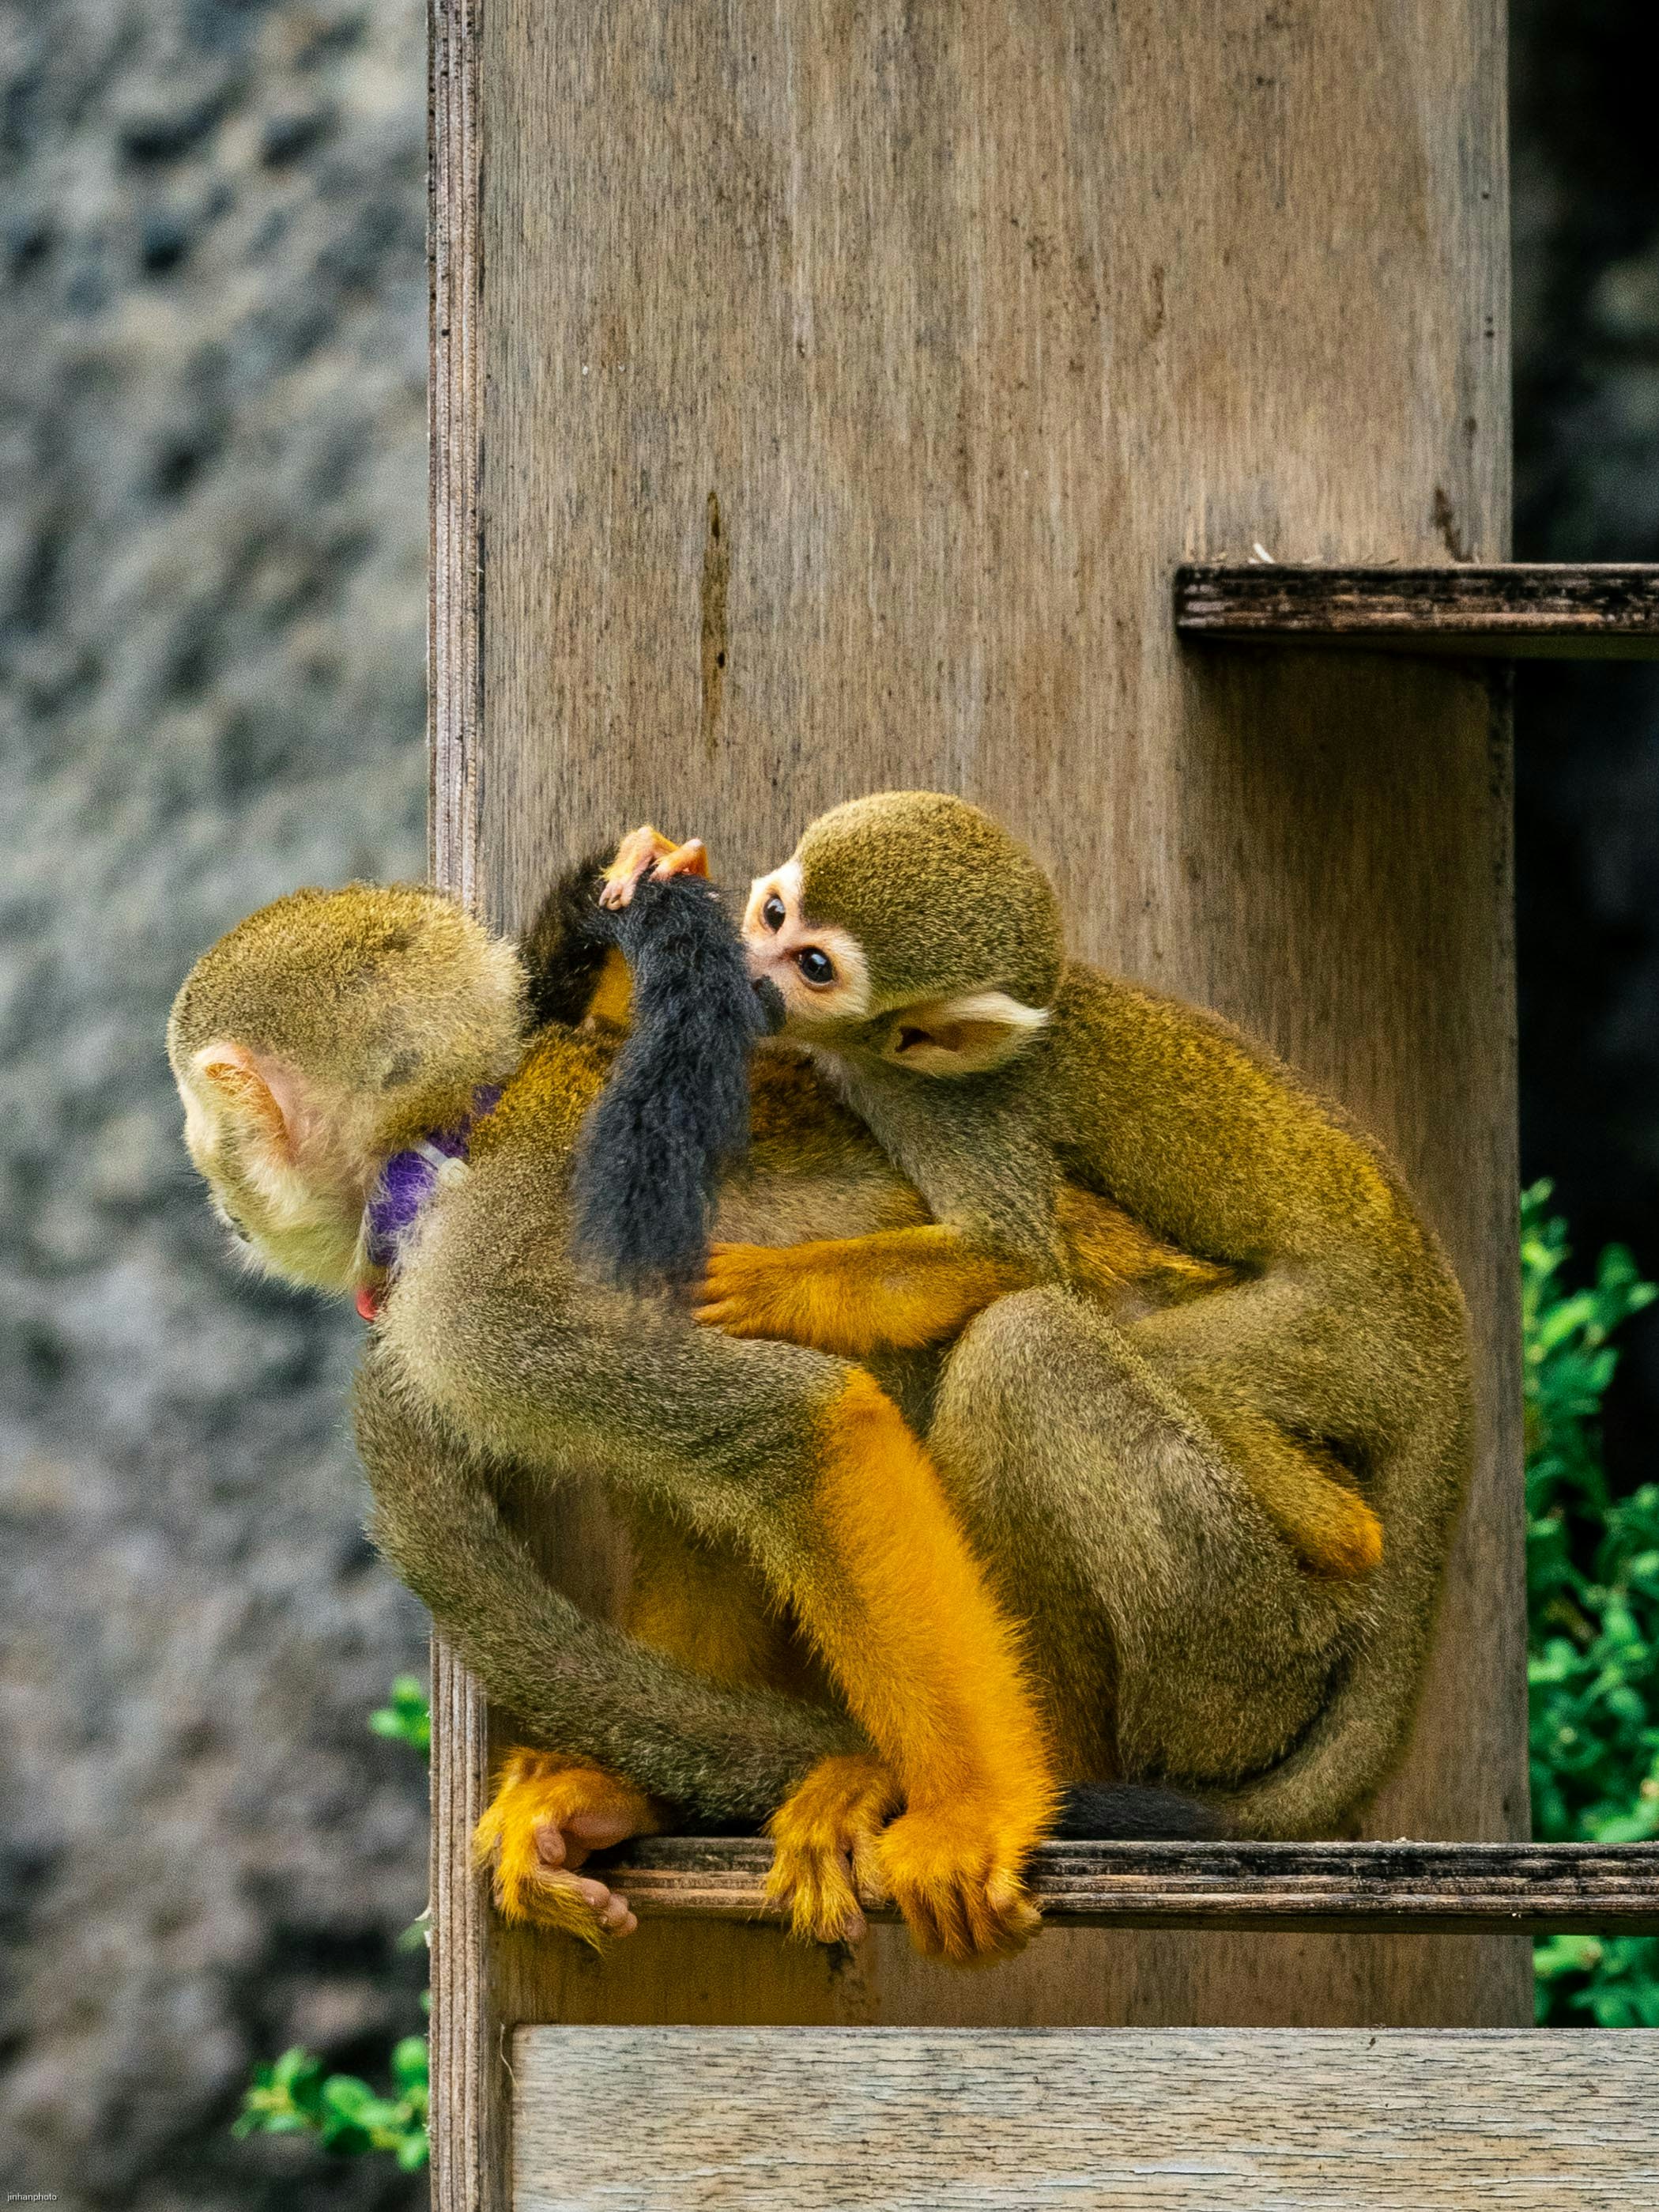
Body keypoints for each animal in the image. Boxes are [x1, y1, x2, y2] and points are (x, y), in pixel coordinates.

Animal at [168, 867, 1063, 1965]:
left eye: (205, 1120)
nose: (210, 1177)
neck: (452, 1142)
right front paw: (613, 1793)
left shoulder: (476, 1300)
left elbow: (799, 1427)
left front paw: (976, 1811)